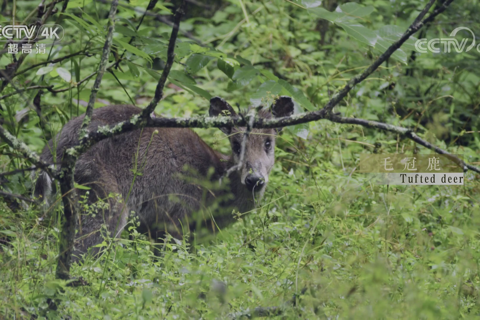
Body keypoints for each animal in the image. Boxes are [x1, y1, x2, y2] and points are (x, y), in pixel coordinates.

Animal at [34, 95, 292, 260]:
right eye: (237, 144)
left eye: (268, 142)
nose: (254, 179)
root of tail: (53, 151)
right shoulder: (174, 220)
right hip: (103, 196)